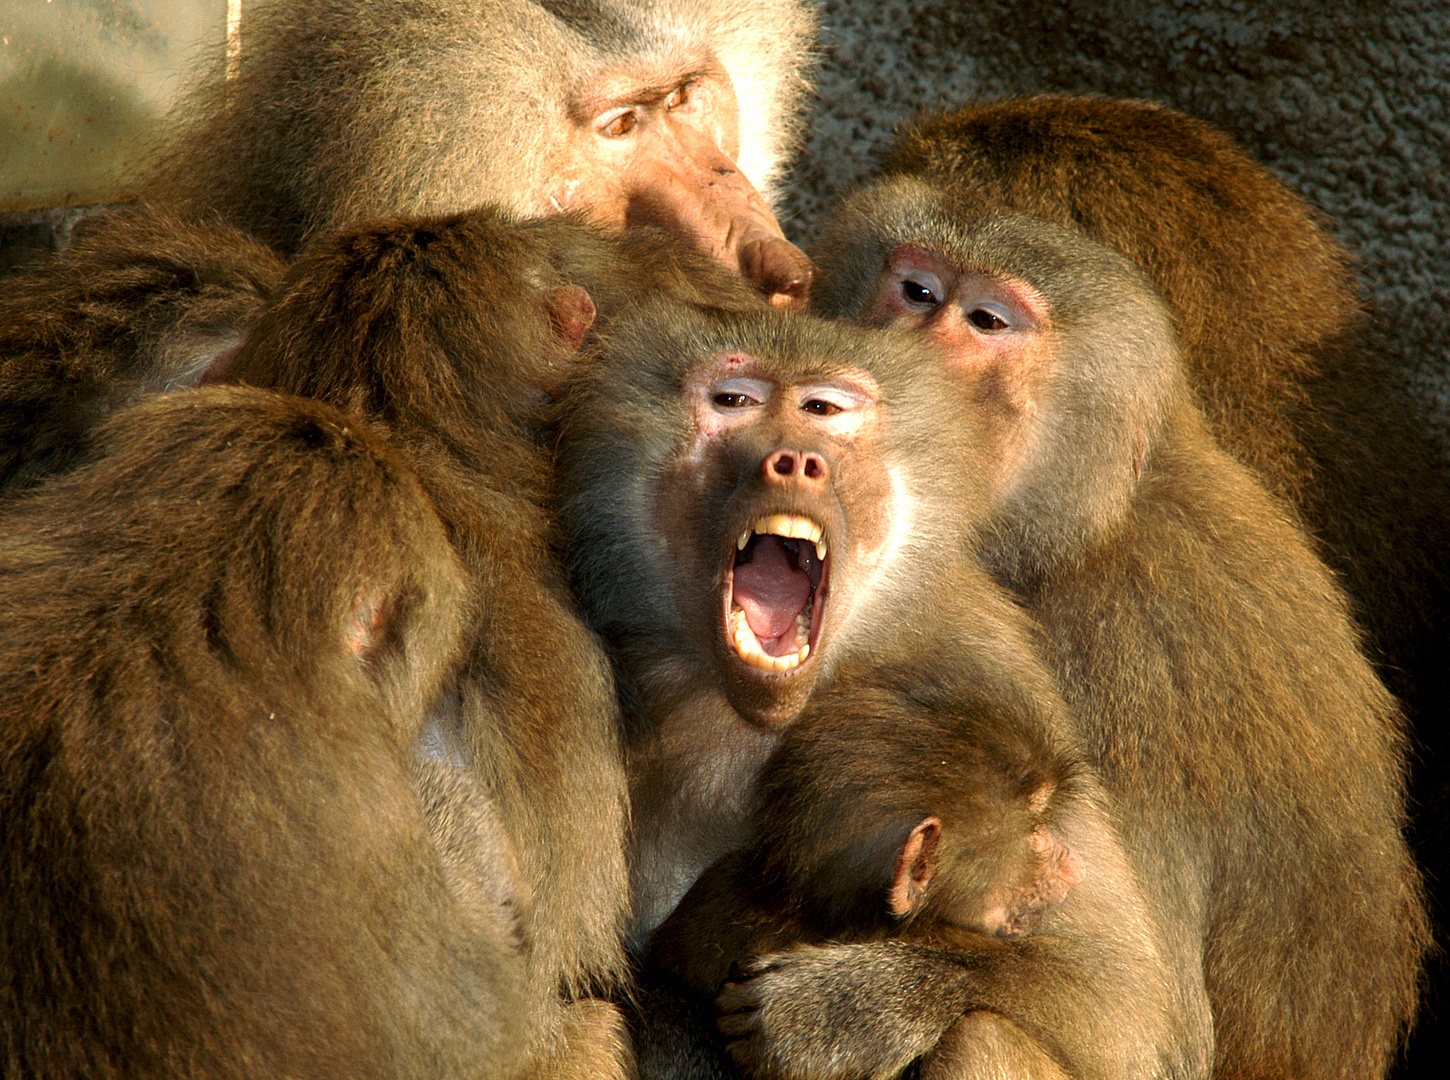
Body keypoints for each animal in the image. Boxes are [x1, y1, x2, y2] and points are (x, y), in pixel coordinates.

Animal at [556, 302, 1212, 1078]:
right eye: (735, 401)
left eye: (823, 410)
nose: (793, 459)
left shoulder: (990, 668)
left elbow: (1121, 1007)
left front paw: (844, 1009)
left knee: (984, 1033)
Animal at [800, 195, 1432, 1078]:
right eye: (917, 290)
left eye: (988, 321)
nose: (907, 347)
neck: (1081, 529)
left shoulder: (1123, 663)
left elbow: (1156, 1034)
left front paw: (848, 1006)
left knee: (986, 1032)